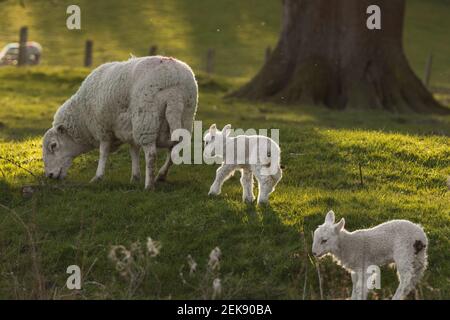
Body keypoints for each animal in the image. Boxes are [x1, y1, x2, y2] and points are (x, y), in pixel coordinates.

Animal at [41, 56, 197, 189]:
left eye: (53, 145)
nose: (49, 175)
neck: (83, 119)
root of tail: (174, 89)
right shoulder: (130, 130)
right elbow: (134, 151)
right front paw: (135, 177)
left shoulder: (103, 128)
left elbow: (103, 152)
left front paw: (98, 177)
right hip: (184, 117)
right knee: (174, 151)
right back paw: (161, 176)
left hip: (146, 120)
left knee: (152, 155)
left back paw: (149, 186)